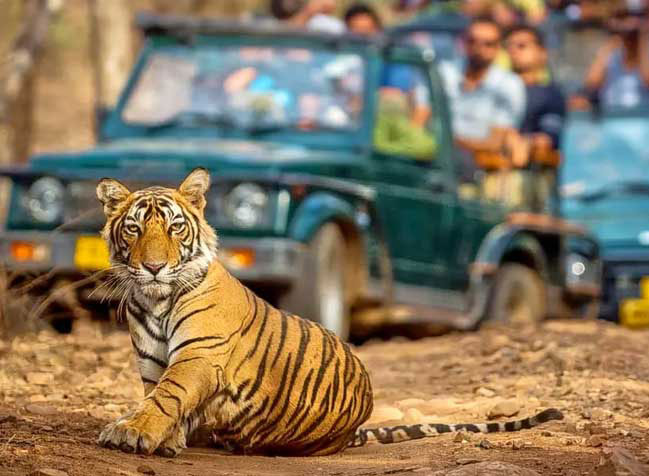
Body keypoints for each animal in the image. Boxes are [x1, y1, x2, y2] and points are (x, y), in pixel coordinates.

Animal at [95, 168, 560, 458]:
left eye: (175, 227)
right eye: (134, 228)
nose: (154, 267)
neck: (155, 300)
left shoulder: (199, 355)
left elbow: (166, 396)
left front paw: (132, 432)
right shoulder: (153, 363)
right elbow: (158, 396)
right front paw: (162, 437)